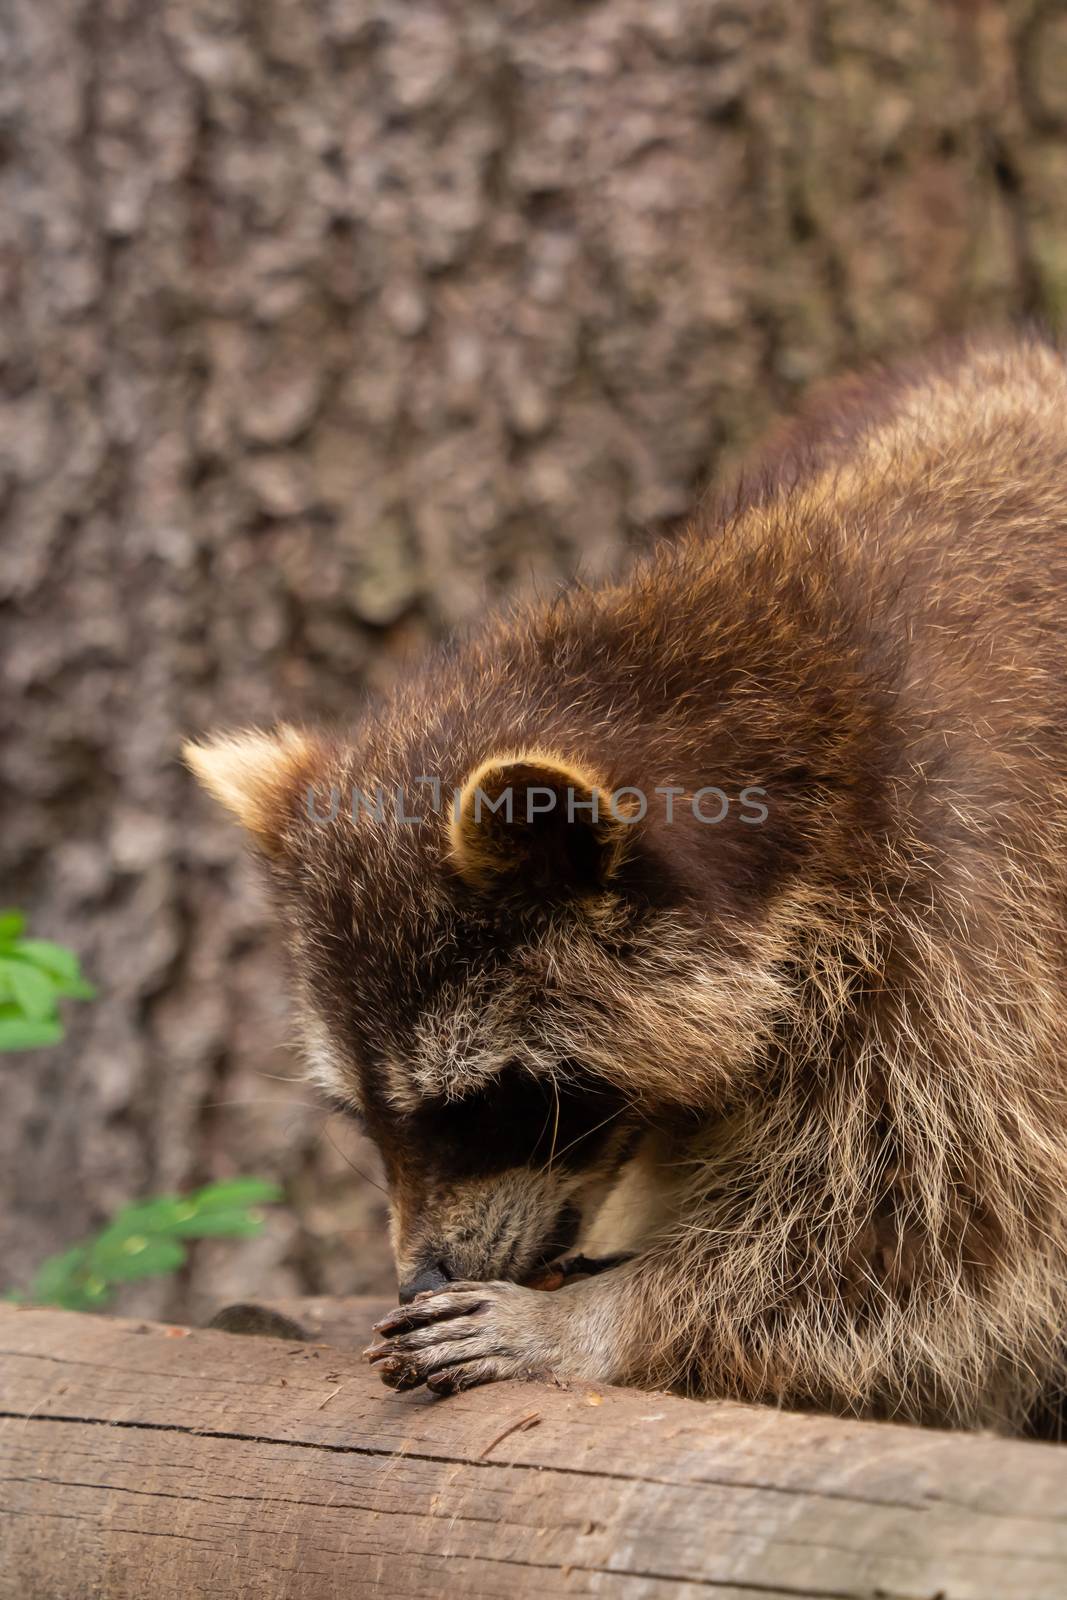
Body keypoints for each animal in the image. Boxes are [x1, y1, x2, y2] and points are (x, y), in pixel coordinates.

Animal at [187, 334, 1067, 1427]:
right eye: (360, 1115)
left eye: (496, 1102)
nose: (418, 1276)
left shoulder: (976, 922)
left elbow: (952, 1246)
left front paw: (587, 1321)